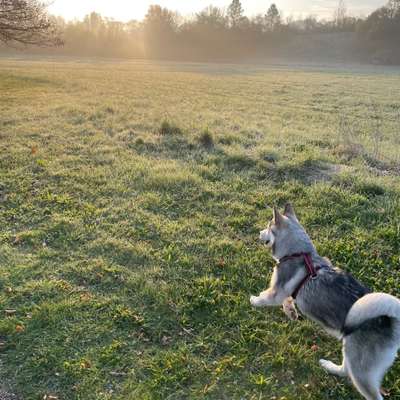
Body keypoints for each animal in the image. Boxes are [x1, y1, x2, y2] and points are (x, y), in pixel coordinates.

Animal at [250, 203, 400, 400]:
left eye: (268, 226)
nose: (259, 233)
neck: (300, 253)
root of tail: (391, 322)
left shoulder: (276, 291)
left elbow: (266, 298)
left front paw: (254, 300)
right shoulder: (285, 291)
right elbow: (288, 300)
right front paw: (291, 312)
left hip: (361, 368)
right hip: (350, 351)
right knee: (345, 370)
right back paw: (330, 367)